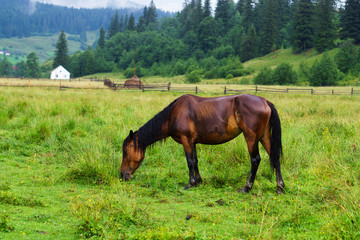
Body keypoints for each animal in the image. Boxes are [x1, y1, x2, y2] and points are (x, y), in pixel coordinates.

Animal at [122, 94, 286, 194]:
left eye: (126, 151)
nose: (123, 175)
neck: (174, 113)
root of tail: (265, 101)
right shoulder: (192, 141)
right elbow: (195, 161)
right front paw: (198, 181)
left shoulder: (186, 140)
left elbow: (189, 161)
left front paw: (190, 183)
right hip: (264, 136)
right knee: (275, 157)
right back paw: (280, 187)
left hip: (251, 137)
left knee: (255, 160)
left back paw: (246, 187)